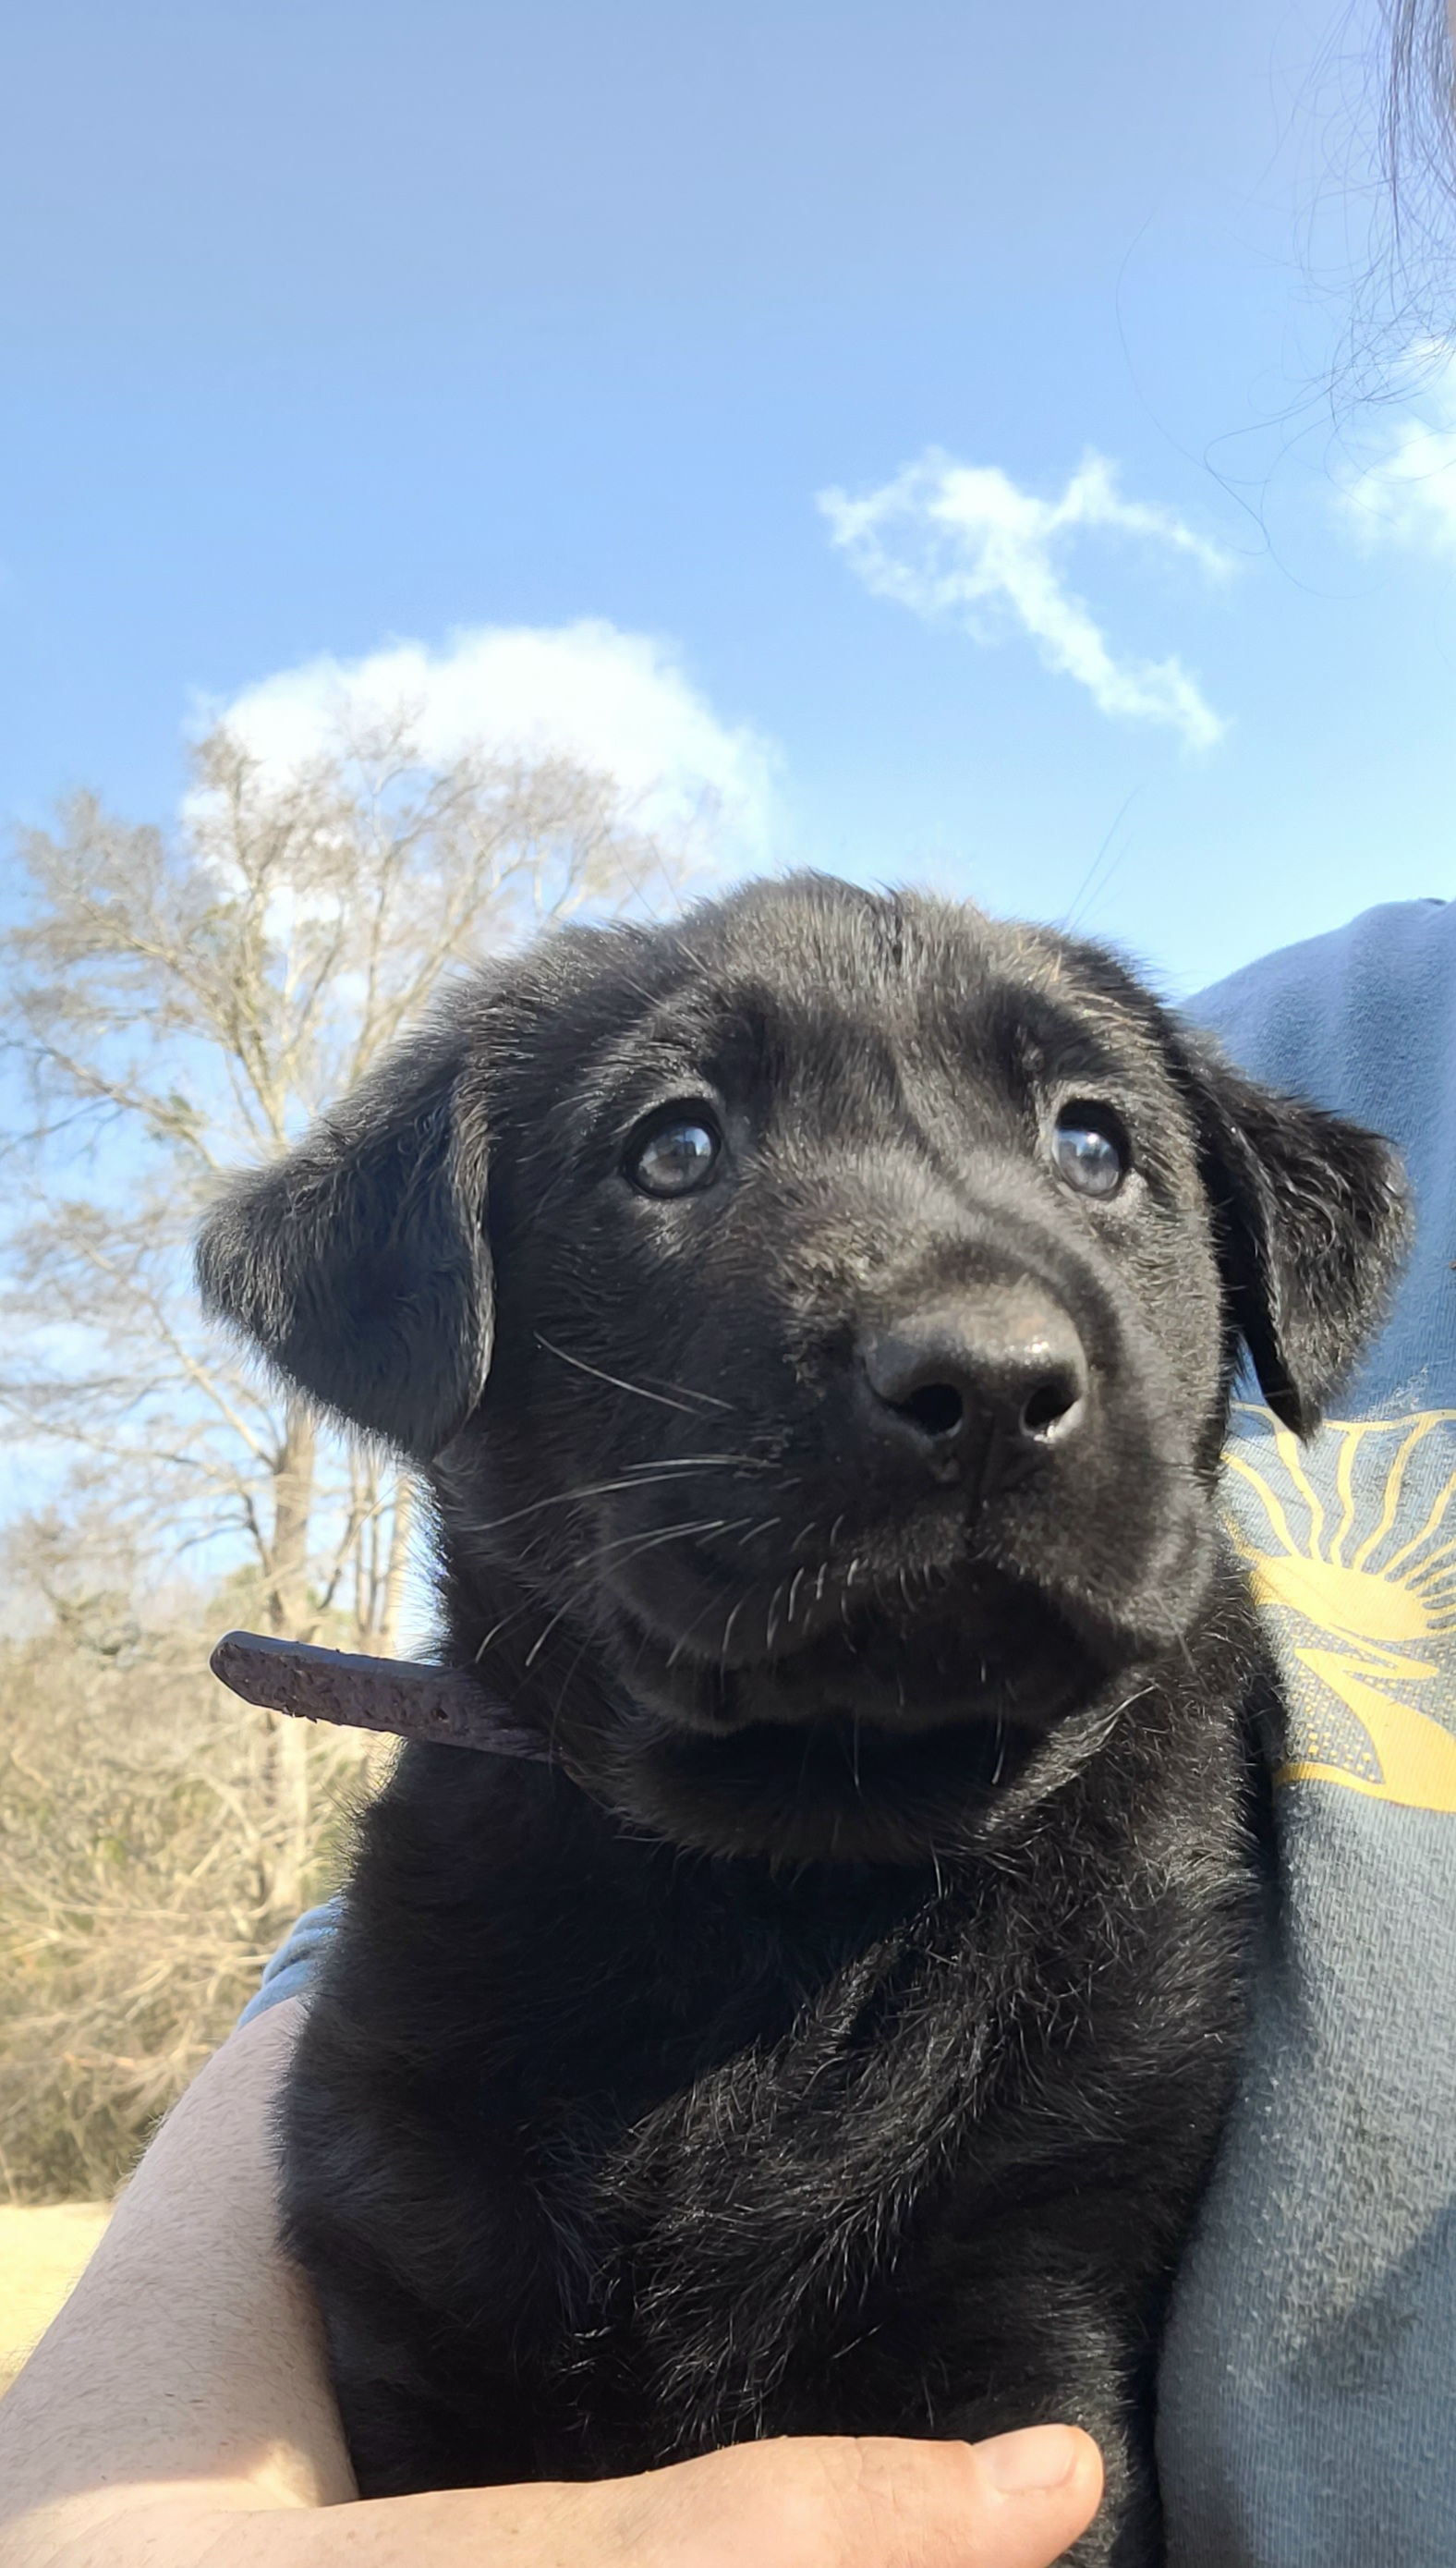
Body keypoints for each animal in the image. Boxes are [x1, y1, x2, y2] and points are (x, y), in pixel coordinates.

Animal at [199, 872, 1407, 2557]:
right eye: (673, 1147)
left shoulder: (1036, 2291)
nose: (984, 1379)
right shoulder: (416, 2303)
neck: (805, 1862)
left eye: (1094, 1145)